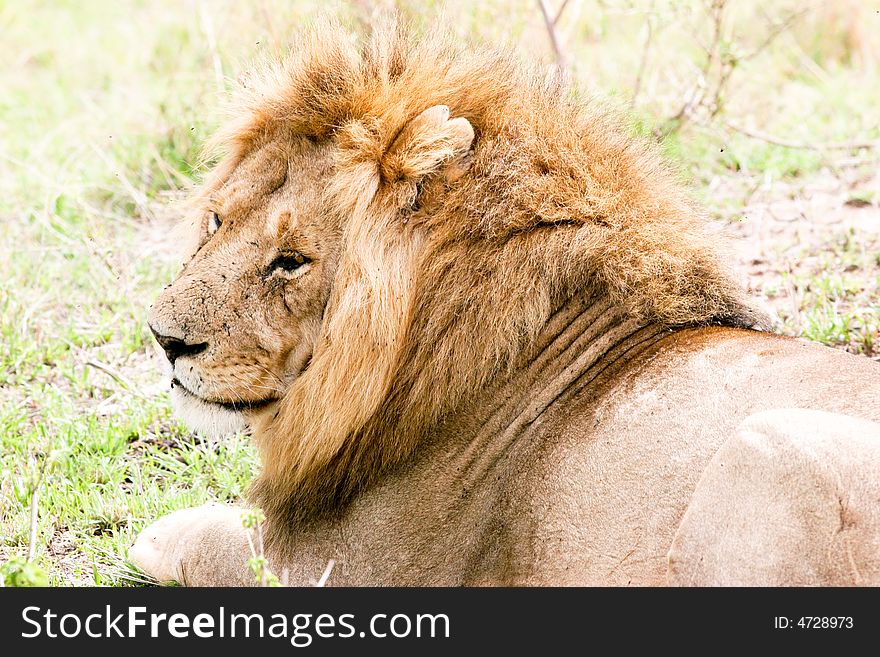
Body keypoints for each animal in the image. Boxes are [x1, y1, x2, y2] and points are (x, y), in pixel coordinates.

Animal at [131, 21, 880, 584]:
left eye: (291, 261)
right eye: (216, 220)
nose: (165, 340)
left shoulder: (349, 568)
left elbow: (198, 534)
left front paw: (162, 532)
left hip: (770, 448)